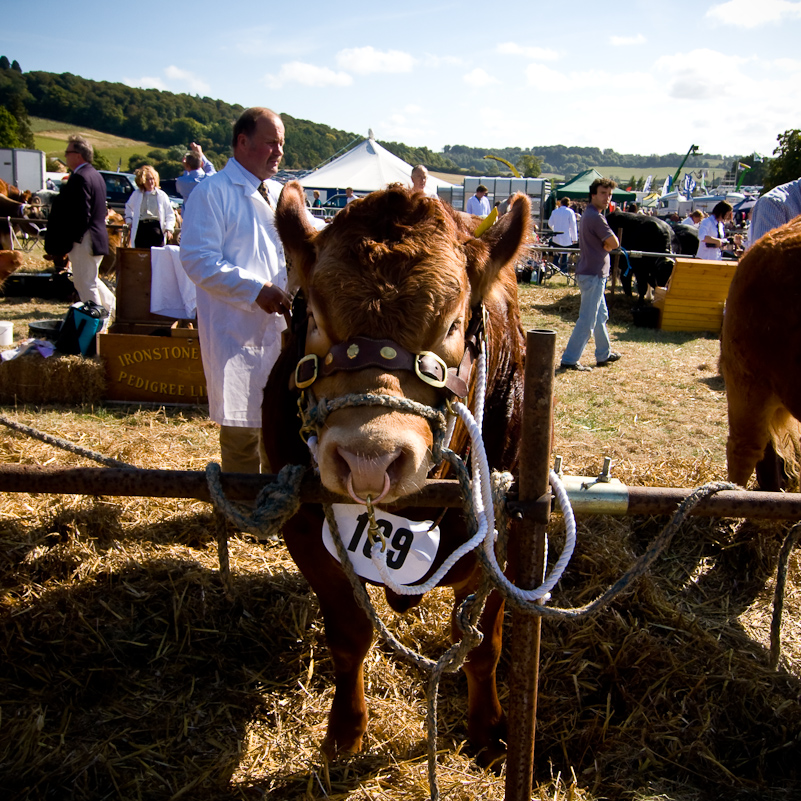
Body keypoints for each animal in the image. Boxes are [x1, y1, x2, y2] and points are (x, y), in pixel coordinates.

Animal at [268, 184, 532, 764]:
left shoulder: (507, 540)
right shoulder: (305, 533)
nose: (370, 457)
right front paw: (345, 733)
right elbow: (348, 637)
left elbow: (484, 646)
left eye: (453, 324)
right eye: (312, 317)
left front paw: (487, 730)